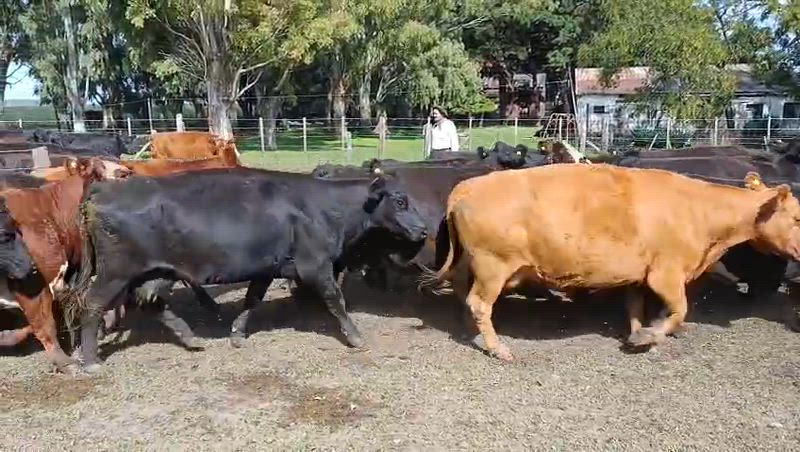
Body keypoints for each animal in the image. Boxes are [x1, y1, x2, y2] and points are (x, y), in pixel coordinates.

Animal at [69, 167, 428, 372]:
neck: (326, 208)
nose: (424, 229)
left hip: (150, 273)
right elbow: (335, 300)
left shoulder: (267, 267)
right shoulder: (316, 266)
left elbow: (252, 299)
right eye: (399, 201)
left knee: (151, 303)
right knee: (93, 305)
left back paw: (190, 339)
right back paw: (91, 362)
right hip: (116, 272)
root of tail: (106, 188)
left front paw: (237, 334)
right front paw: (355, 336)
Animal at [420, 164, 800, 362]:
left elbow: (635, 307)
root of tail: (468, 186)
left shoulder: (639, 275)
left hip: (472, 262)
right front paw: (649, 335)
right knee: (479, 302)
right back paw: (498, 348)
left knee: (461, 289)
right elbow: (679, 310)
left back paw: (470, 329)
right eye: (797, 217)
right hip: (493, 265)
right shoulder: (666, 274)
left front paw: (637, 333)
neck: (700, 211)